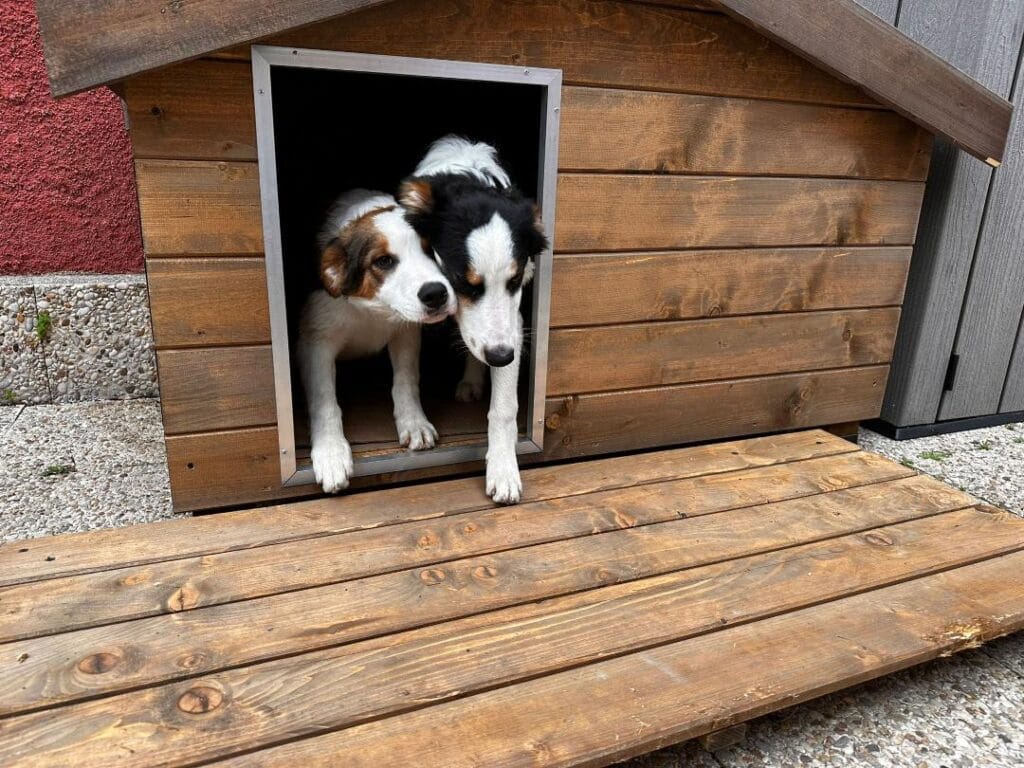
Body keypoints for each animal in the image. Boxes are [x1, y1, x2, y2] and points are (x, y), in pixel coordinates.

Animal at [296, 191, 456, 493]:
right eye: (383, 261)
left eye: (431, 250)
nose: (435, 294)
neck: (373, 309)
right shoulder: (317, 341)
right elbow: (324, 399)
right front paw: (330, 451)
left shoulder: (406, 333)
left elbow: (406, 381)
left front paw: (414, 423)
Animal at [395, 138, 548, 507]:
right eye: (462, 282)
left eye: (515, 280)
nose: (501, 357)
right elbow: (406, 371)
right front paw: (413, 421)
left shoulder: (513, 319)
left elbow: (504, 407)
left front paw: (503, 470)